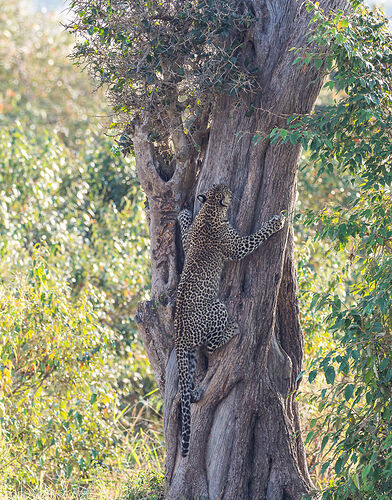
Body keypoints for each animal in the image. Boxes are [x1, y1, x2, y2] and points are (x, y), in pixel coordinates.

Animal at [175, 184, 284, 458]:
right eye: (225, 190)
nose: (231, 188)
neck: (209, 212)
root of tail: (179, 336)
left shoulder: (189, 240)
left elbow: (185, 233)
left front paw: (183, 214)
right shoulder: (236, 247)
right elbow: (256, 237)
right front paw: (276, 222)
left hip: (190, 353)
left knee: (190, 376)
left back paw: (194, 391)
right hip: (217, 307)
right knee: (211, 345)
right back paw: (233, 329)